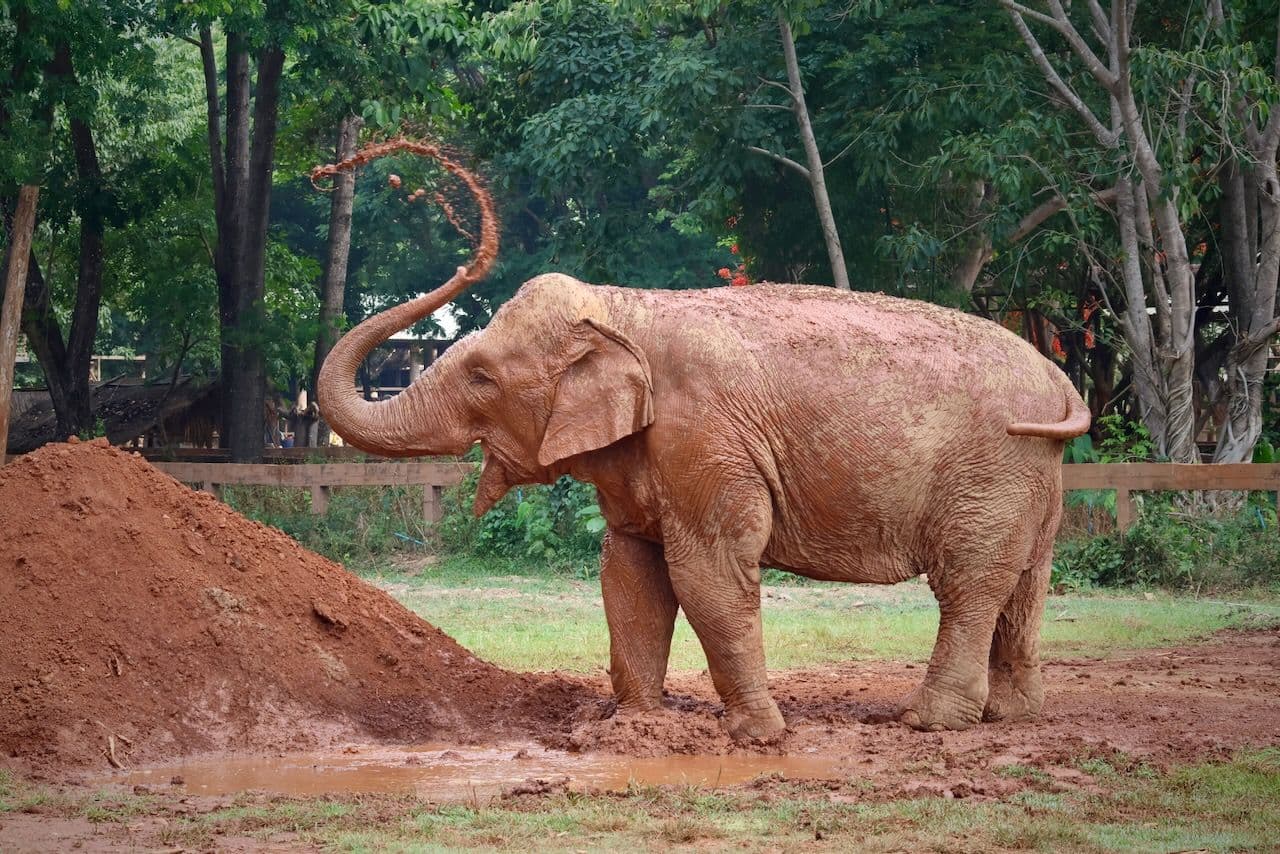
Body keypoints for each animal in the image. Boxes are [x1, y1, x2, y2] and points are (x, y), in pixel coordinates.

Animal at [315, 141, 1090, 741]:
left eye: (480, 377)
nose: (343, 168)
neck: (625, 307)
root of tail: (1061, 381)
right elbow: (628, 571)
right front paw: (634, 727)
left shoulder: (703, 440)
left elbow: (707, 574)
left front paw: (759, 735)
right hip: (1032, 475)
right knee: (1026, 581)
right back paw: (1012, 718)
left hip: (990, 471)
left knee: (969, 582)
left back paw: (931, 723)